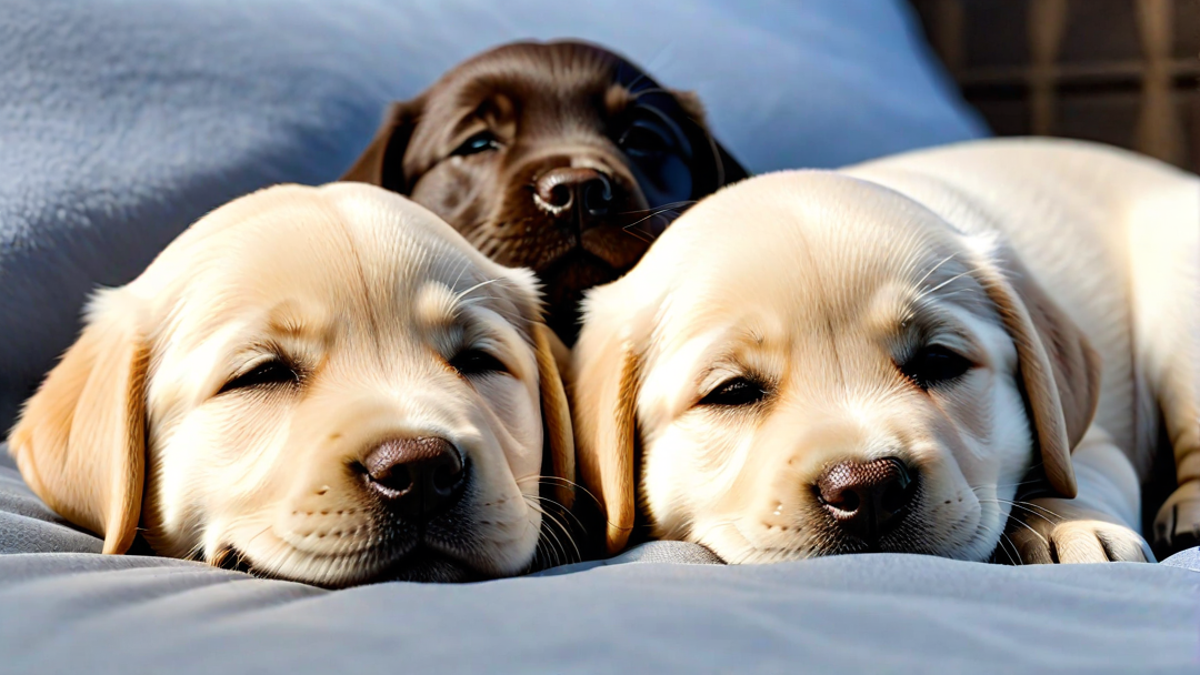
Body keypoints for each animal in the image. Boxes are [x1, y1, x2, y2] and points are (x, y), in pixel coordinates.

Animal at [571, 139, 1190, 564]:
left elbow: (1076, 471)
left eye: (939, 362)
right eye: (733, 391)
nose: (867, 487)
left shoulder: (1096, 439)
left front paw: (1070, 524)